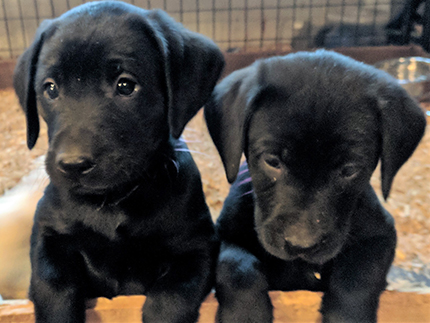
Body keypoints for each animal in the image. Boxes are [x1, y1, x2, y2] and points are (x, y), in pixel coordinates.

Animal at [13, 1, 223, 322]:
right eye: (50, 88)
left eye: (125, 85)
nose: (73, 165)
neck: (113, 201)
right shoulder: (49, 237)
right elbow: (54, 287)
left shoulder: (196, 247)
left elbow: (171, 297)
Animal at [205, 49, 426, 322]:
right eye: (272, 161)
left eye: (349, 170)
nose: (301, 244)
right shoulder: (225, 234)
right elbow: (236, 266)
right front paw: (245, 315)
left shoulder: (380, 235)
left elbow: (357, 275)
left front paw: (347, 317)